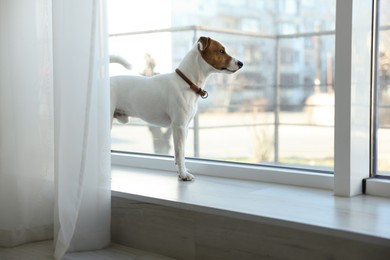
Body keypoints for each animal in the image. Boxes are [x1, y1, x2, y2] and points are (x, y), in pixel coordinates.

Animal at [110, 36, 244, 181]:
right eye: (221, 51)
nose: (241, 63)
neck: (187, 82)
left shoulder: (185, 127)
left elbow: (181, 153)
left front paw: (182, 171)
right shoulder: (179, 127)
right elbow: (180, 153)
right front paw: (184, 175)